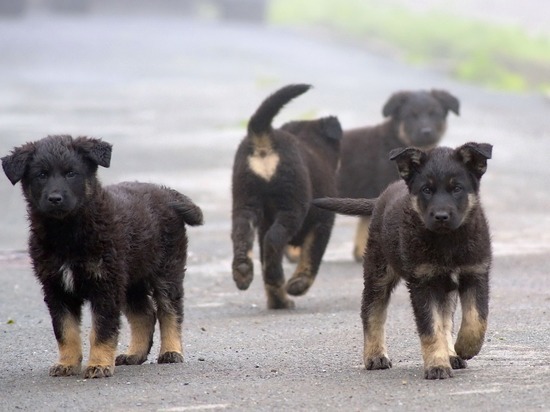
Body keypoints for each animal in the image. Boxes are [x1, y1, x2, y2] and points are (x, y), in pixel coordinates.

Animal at [1, 136, 204, 380]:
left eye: (71, 173)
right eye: (41, 175)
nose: (55, 198)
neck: (67, 233)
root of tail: (167, 193)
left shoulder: (105, 285)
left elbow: (102, 329)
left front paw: (98, 364)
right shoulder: (56, 288)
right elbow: (65, 331)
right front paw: (67, 363)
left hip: (166, 271)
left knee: (170, 311)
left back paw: (171, 351)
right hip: (130, 280)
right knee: (145, 315)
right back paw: (134, 354)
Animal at [231, 83, 342, 308]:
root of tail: (264, 136)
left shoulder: (264, 223)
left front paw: (278, 301)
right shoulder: (324, 222)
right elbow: (311, 257)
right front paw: (297, 285)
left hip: (245, 200)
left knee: (243, 233)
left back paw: (243, 271)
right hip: (292, 206)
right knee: (274, 240)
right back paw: (277, 278)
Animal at [316, 142, 494, 380]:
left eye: (457, 188)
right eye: (426, 190)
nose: (441, 216)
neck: (447, 241)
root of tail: (380, 198)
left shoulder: (476, 273)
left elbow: (476, 319)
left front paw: (463, 348)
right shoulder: (422, 283)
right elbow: (430, 328)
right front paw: (437, 365)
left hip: (443, 288)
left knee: (446, 319)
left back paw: (451, 353)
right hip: (378, 272)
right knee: (372, 312)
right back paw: (375, 356)